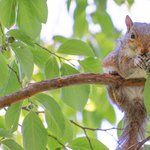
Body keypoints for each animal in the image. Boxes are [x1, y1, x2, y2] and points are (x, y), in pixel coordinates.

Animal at [101, 15, 149, 150]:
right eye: (132, 35)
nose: (145, 50)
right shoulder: (120, 57)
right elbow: (124, 68)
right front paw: (136, 60)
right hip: (112, 91)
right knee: (119, 99)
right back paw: (116, 89)